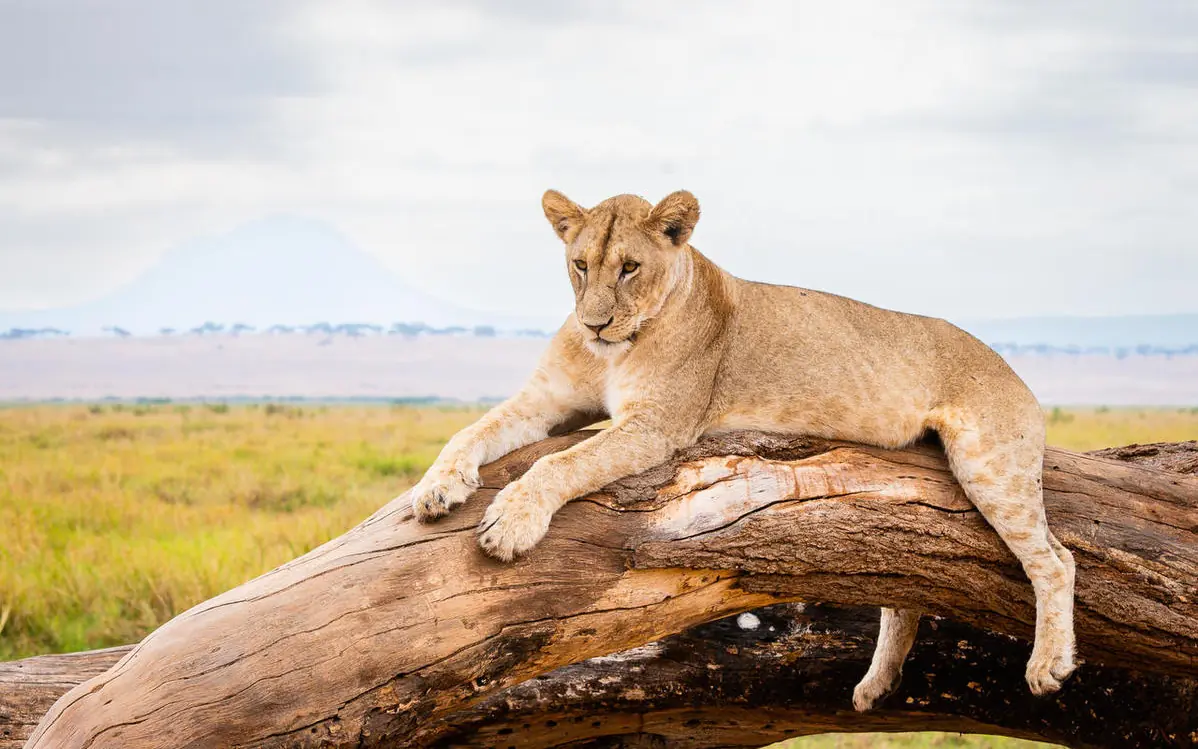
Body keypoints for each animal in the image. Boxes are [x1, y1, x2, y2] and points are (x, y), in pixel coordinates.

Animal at [409, 189, 1077, 709]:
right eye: (579, 264)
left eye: (629, 267)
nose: (594, 324)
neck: (612, 351)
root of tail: (1013, 370)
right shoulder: (547, 400)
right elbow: (471, 431)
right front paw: (435, 489)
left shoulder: (657, 426)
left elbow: (562, 461)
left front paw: (511, 524)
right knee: (909, 592)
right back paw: (875, 686)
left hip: (990, 463)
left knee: (1056, 559)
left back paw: (1047, 666)